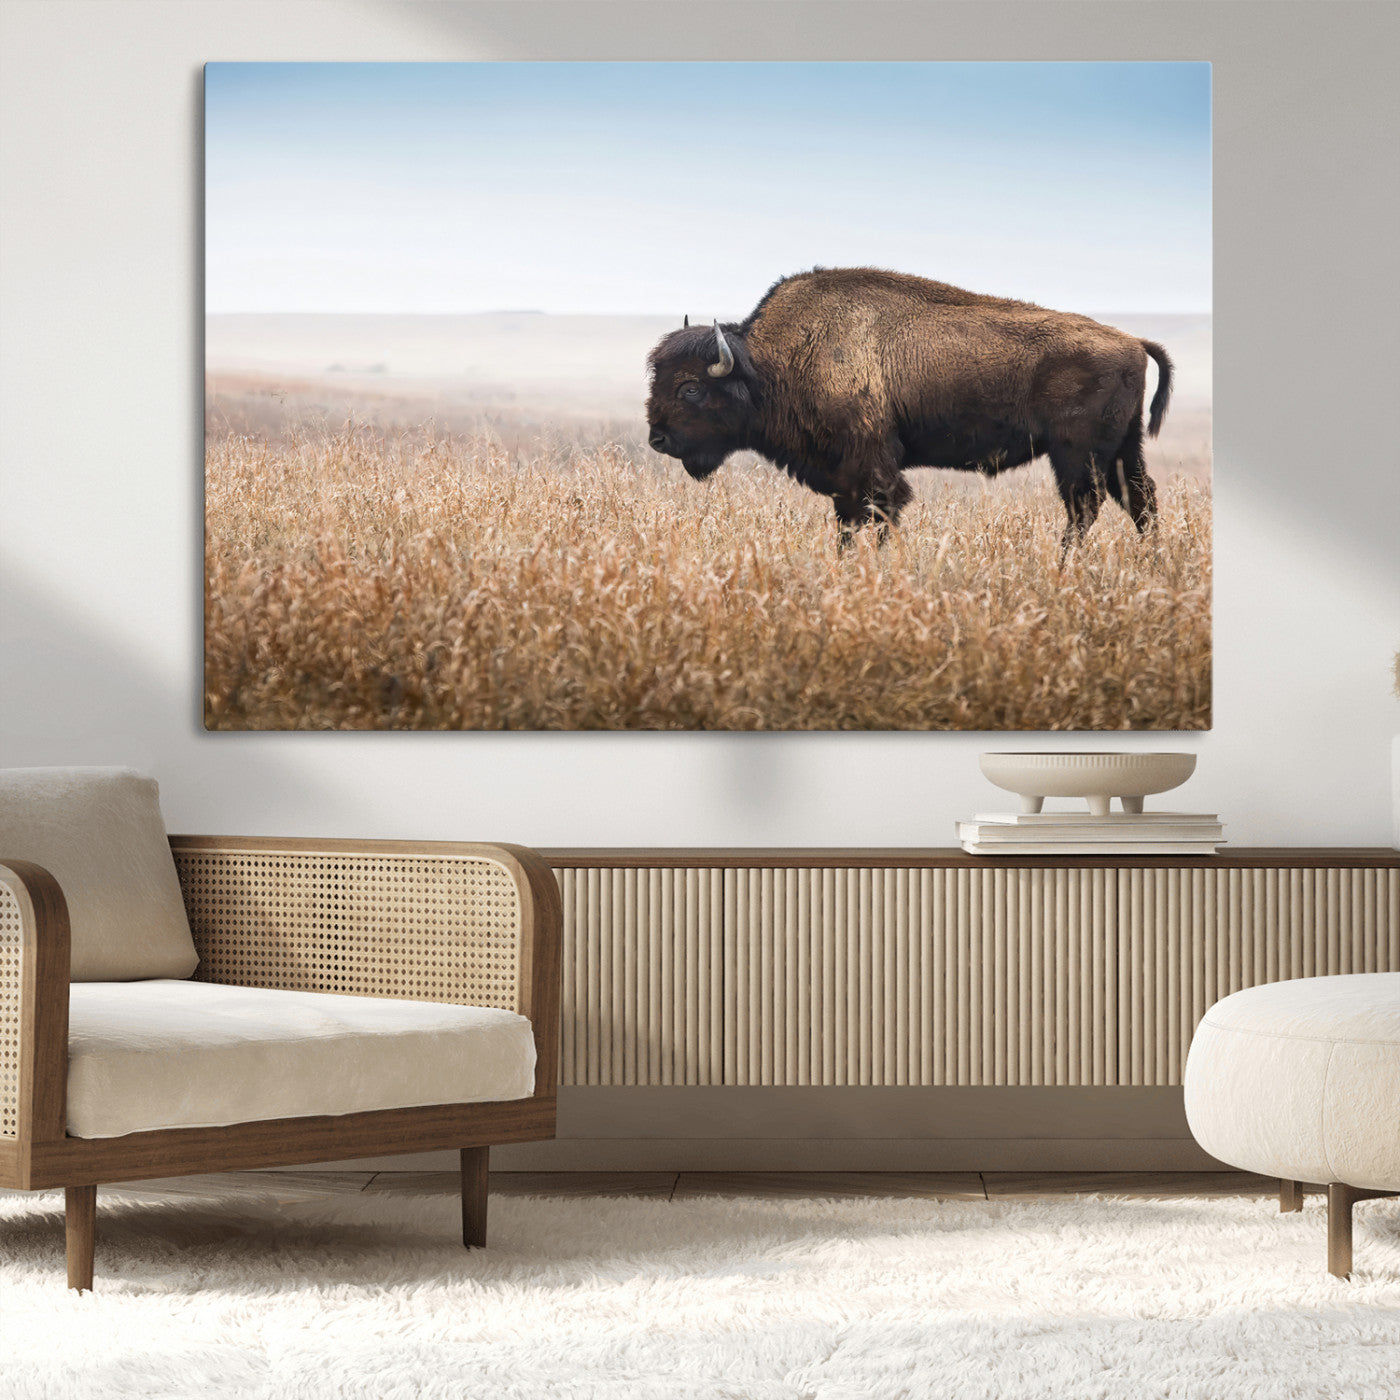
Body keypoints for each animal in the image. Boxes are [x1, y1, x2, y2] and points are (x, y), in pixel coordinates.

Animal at [646, 267, 1173, 551]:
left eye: (690, 388)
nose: (657, 439)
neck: (771, 363)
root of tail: (1132, 341)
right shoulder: (843, 477)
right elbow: (848, 522)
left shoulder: (872, 467)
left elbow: (880, 514)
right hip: (1123, 449)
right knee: (1139, 500)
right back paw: (1151, 564)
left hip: (1077, 454)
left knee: (1086, 506)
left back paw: (1063, 565)